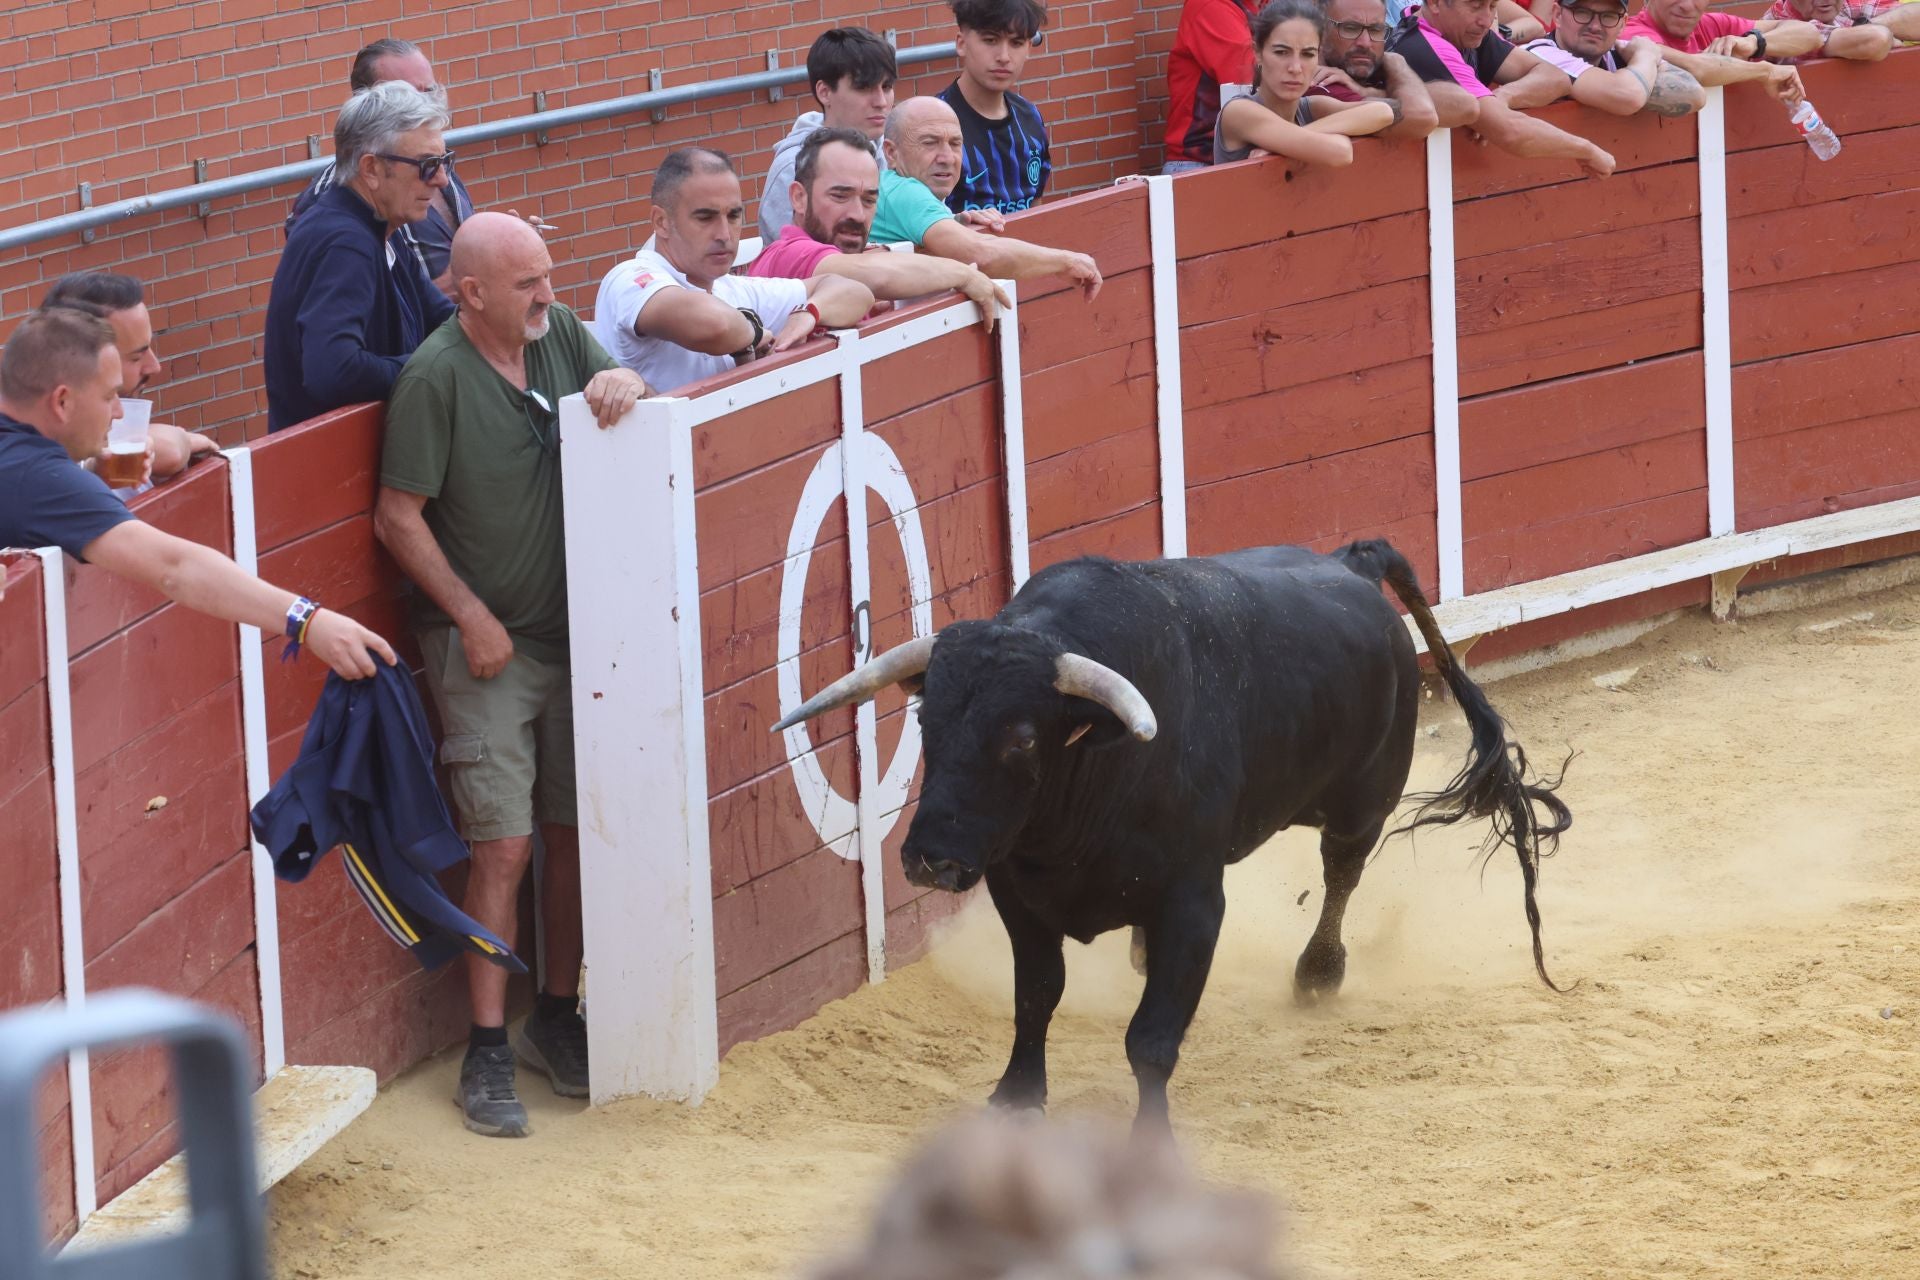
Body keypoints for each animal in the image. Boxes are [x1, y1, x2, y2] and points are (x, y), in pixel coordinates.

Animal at [772, 539, 1570, 1131]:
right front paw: (1015, 1099)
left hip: (1361, 803)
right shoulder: (1017, 894)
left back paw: (1318, 975)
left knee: (1342, 875)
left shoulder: (1192, 902)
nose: (929, 860)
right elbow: (1036, 998)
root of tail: (1352, 562)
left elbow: (1151, 1039)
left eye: (1023, 739)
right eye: (924, 719)